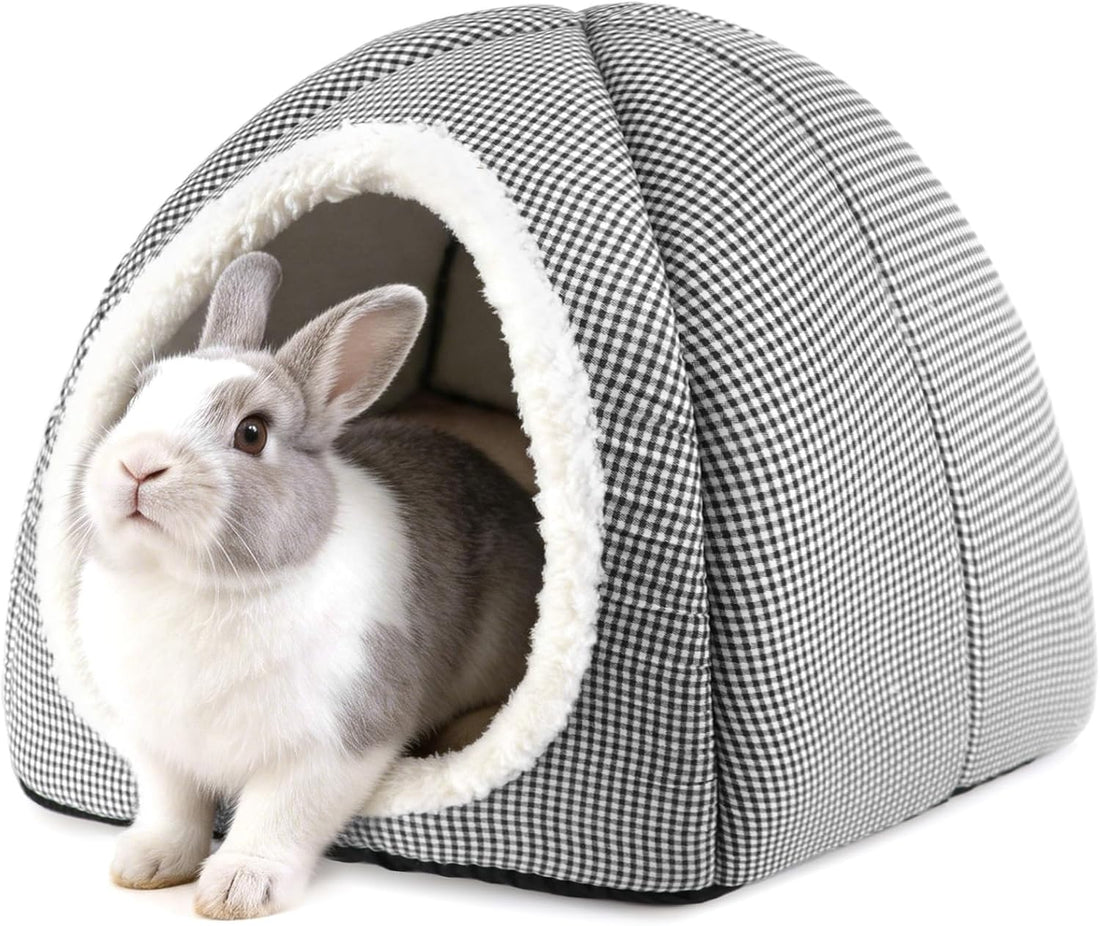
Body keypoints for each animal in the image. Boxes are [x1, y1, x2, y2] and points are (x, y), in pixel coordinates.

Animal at [70, 251, 544, 919]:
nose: (138, 464)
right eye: (137, 397)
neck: (193, 585)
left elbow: (278, 819)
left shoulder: (331, 745)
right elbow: (173, 808)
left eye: (252, 433)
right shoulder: (161, 749)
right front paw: (146, 865)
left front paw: (237, 892)